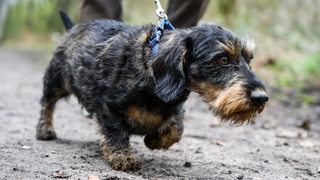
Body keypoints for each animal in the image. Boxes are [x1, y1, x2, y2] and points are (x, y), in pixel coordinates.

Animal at [36, 12, 268, 170]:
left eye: (249, 59)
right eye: (223, 59)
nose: (262, 98)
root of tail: (73, 28)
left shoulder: (175, 107)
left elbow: (177, 128)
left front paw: (156, 140)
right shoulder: (107, 106)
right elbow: (115, 130)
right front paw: (122, 156)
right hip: (56, 80)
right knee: (47, 103)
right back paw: (44, 129)